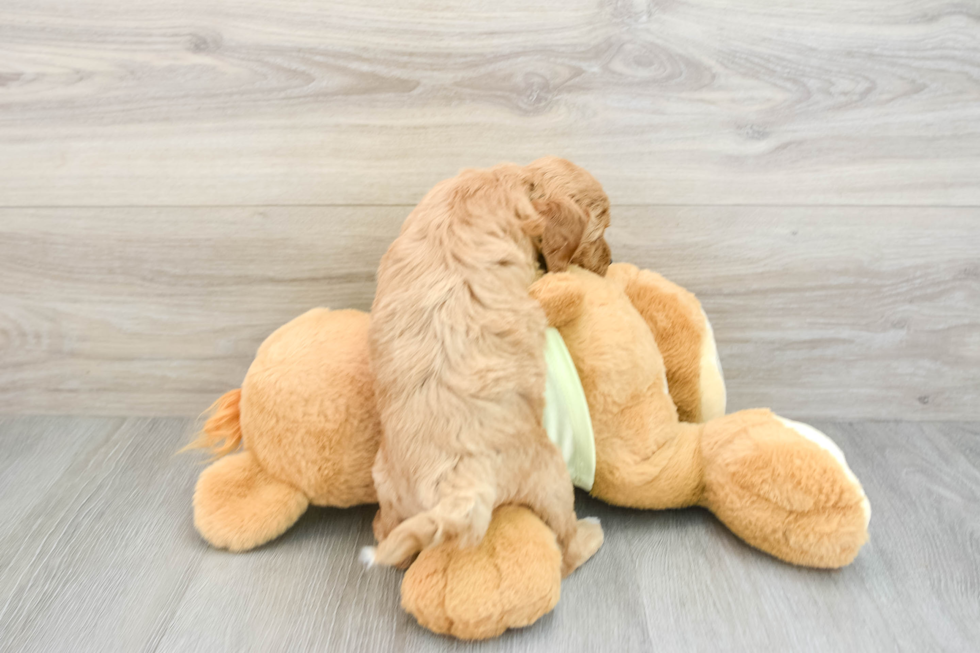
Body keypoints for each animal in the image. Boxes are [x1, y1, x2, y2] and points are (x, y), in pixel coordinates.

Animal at [364, 158, 608, 576]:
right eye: (602, 227)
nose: (609, 264)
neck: (515, 180)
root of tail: (454, 486)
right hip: (550, 472)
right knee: (566, 543)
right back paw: (589, 536)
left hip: (388, 483)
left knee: (391, 530)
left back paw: (383, 529)